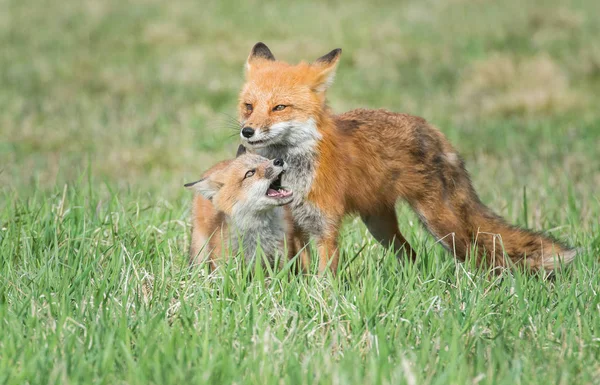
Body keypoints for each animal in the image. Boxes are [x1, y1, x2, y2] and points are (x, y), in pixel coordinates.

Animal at [237, 42, 580, 272]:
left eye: (280, 107)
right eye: (248, 106)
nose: (247, 131)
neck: (293, 172)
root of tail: (431, 128)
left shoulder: (324, 226)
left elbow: (325, 278)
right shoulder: (293, 226)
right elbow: (301, 272)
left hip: (440, 225)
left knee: (476, 255)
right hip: (381, 227)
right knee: (412, 256)